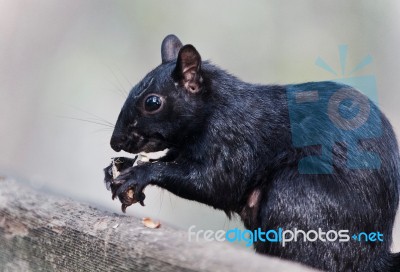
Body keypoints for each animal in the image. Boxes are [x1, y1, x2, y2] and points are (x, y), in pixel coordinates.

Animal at [104, 35, 400, 270]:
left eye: (152, 102)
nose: (115, 142)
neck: (215, 108)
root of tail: (371, 259)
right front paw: (120, 166)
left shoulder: (235, 141)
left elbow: (214, 183)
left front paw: (140, 174)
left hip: (295, 196)